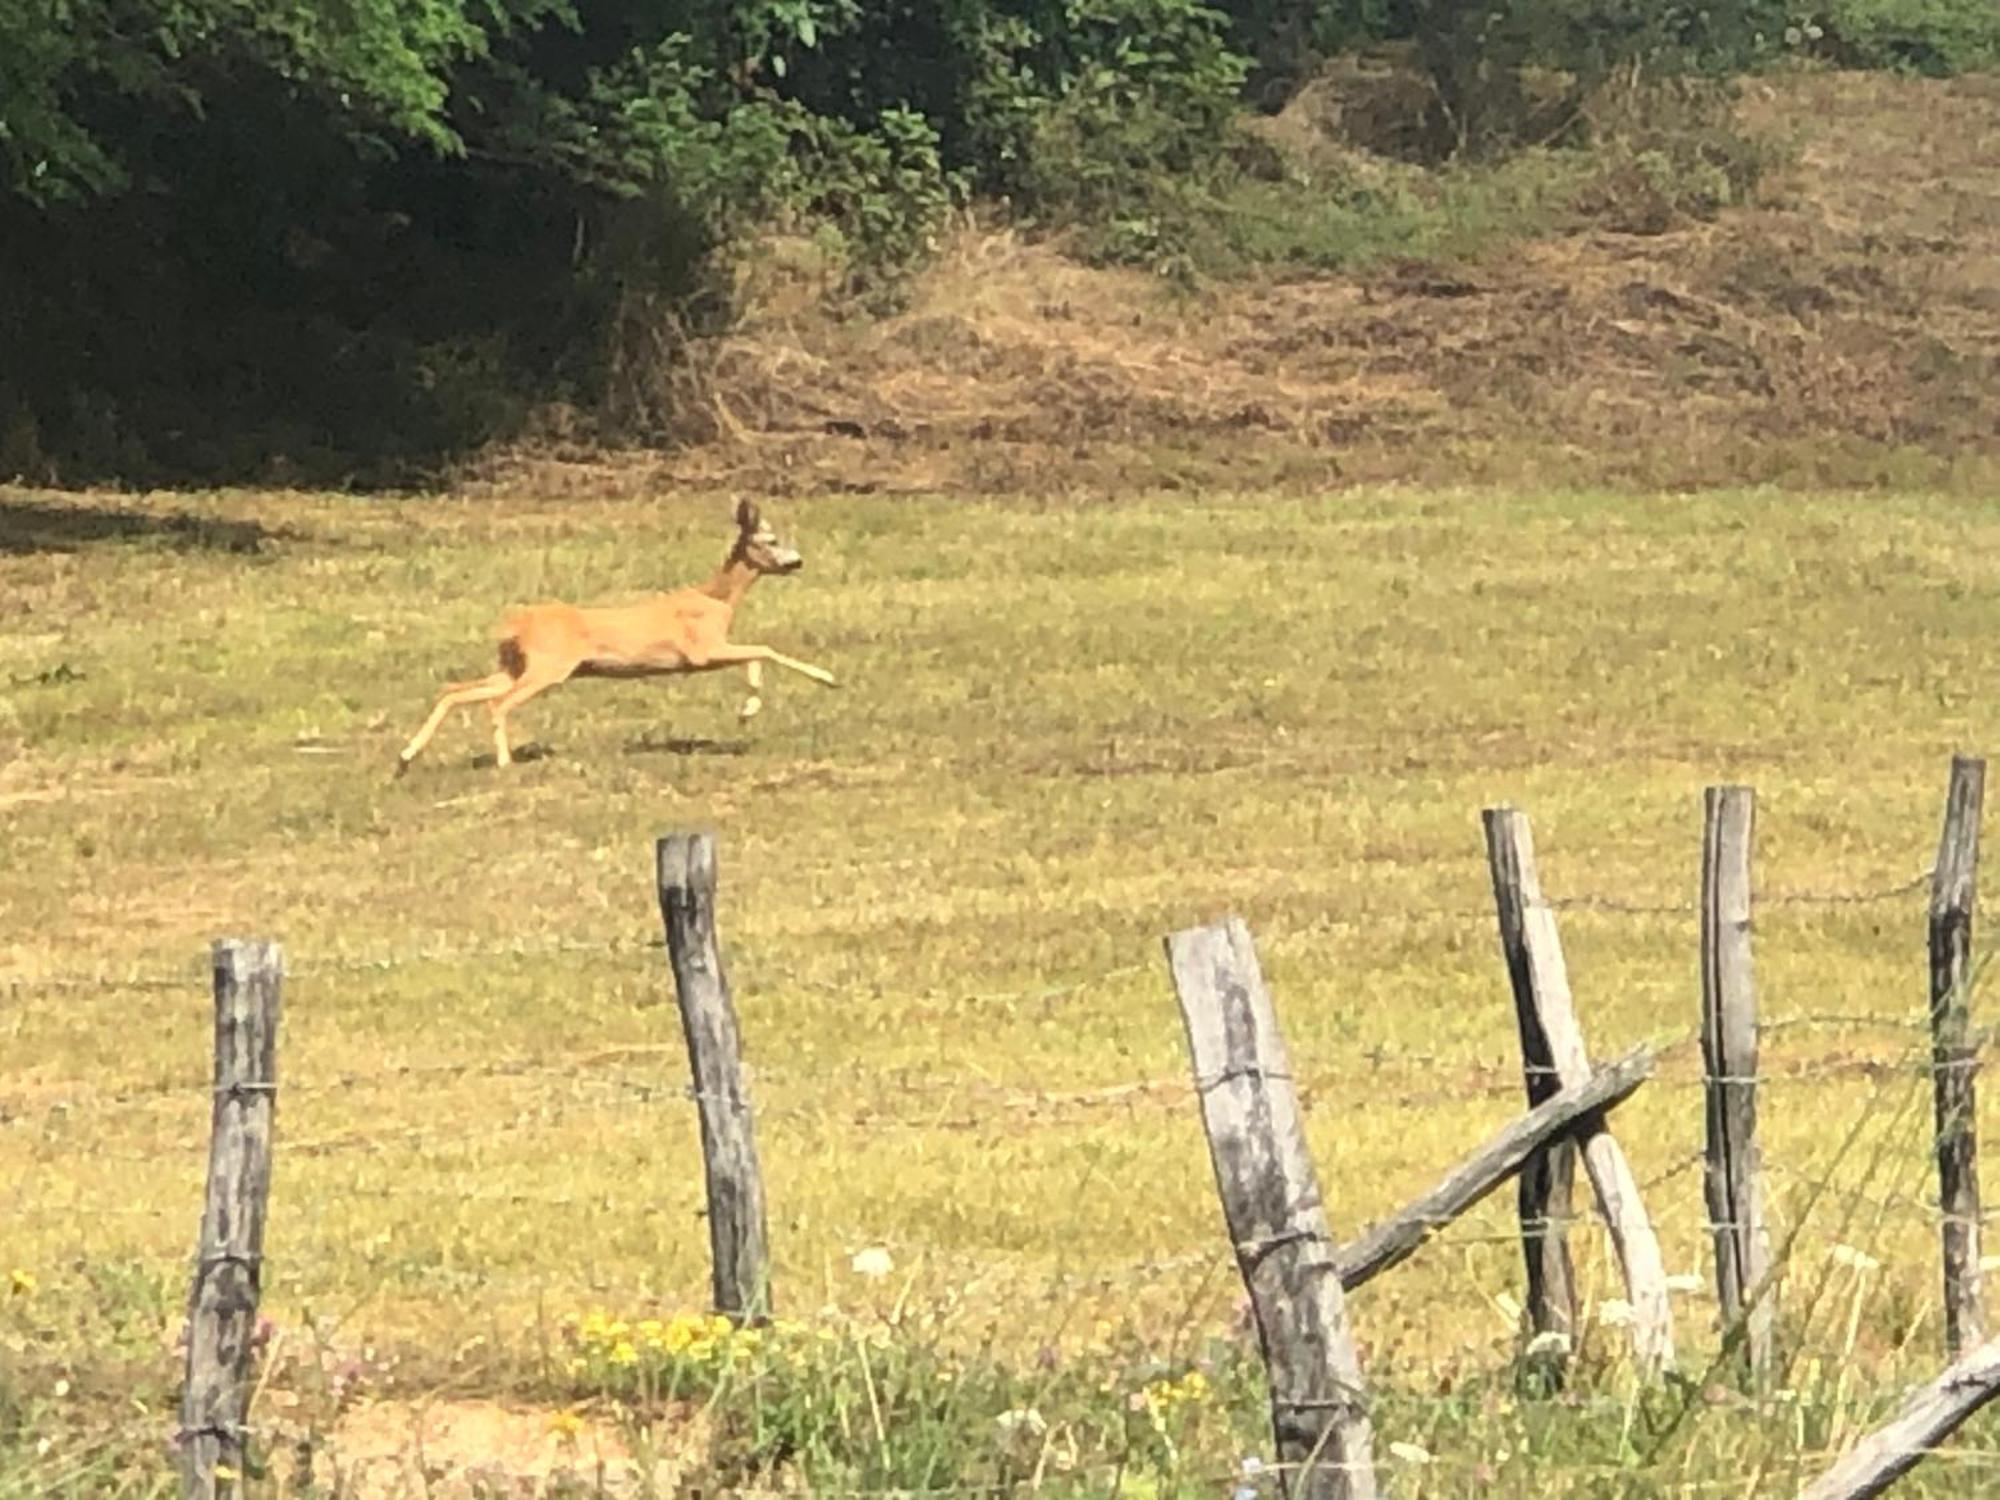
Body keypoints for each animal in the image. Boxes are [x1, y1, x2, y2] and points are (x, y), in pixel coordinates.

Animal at [398, 502, 836, 768]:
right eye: (771, 540)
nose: (798, 561)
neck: (718, 601)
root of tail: (513, 628)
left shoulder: (710, 650)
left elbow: (756, 656)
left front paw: (746, 712)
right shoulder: (701, 650)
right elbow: (764, 649)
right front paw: (827, 679)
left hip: (514, 665)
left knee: (454, 691)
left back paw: (406, 756)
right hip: (547, 667)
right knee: (496, 703)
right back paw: (505, 763)